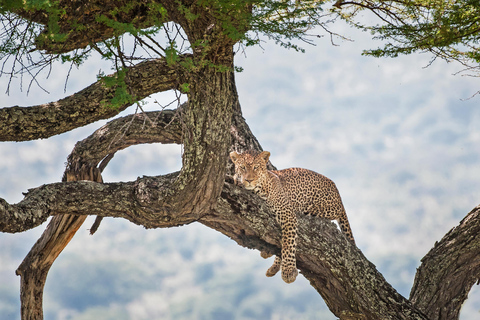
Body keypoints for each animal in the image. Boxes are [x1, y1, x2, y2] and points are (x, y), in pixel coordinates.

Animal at [231, 150, 354, 282]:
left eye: (256, 167)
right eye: (242, 167)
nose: (249, 180)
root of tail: (338, 195)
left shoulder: (287, 214)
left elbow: (288, 243)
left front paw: (288, 271)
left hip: (320, 208)